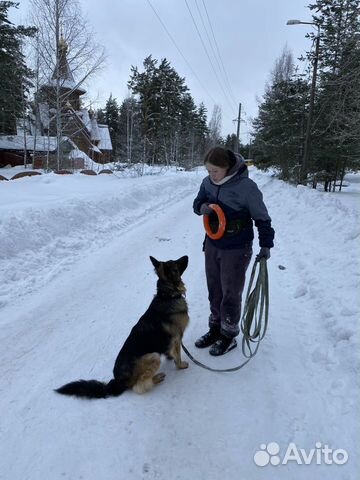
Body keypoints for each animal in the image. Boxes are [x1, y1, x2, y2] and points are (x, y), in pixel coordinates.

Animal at [54, 256, 190, 400]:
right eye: (175, 263)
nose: (186, 256)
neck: (167, 295)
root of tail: (117, 381)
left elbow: (170, 352)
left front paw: (170, 357)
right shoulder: (177, 338)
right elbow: (178, 356)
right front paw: (181, 366)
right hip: (152, 356)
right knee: (139, 386)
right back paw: (156, 378)